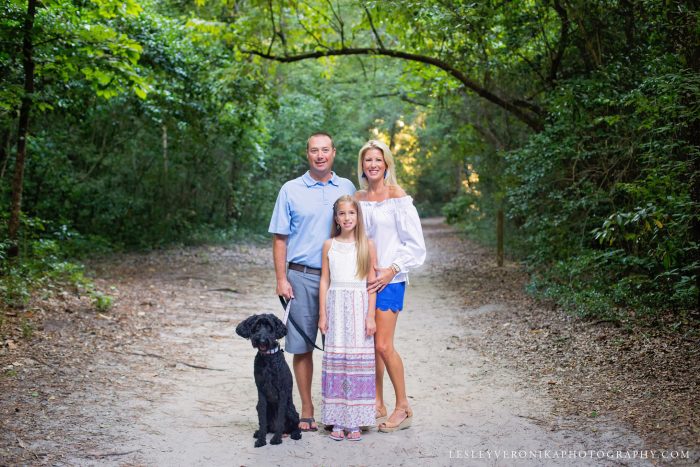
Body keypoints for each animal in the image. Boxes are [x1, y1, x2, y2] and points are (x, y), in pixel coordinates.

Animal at [235, 312, 300, 448]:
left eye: (270, 327)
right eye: (257, 326)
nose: (262, 340)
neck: (268, 359)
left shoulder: (282, 392)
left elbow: (280, 418)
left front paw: (276, 439)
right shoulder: (261, 391)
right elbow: (262, 420)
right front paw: (261, 440)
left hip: (290, 410)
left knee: (296, 423)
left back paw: (295, 434)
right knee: (266, 425)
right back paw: (259, 432)